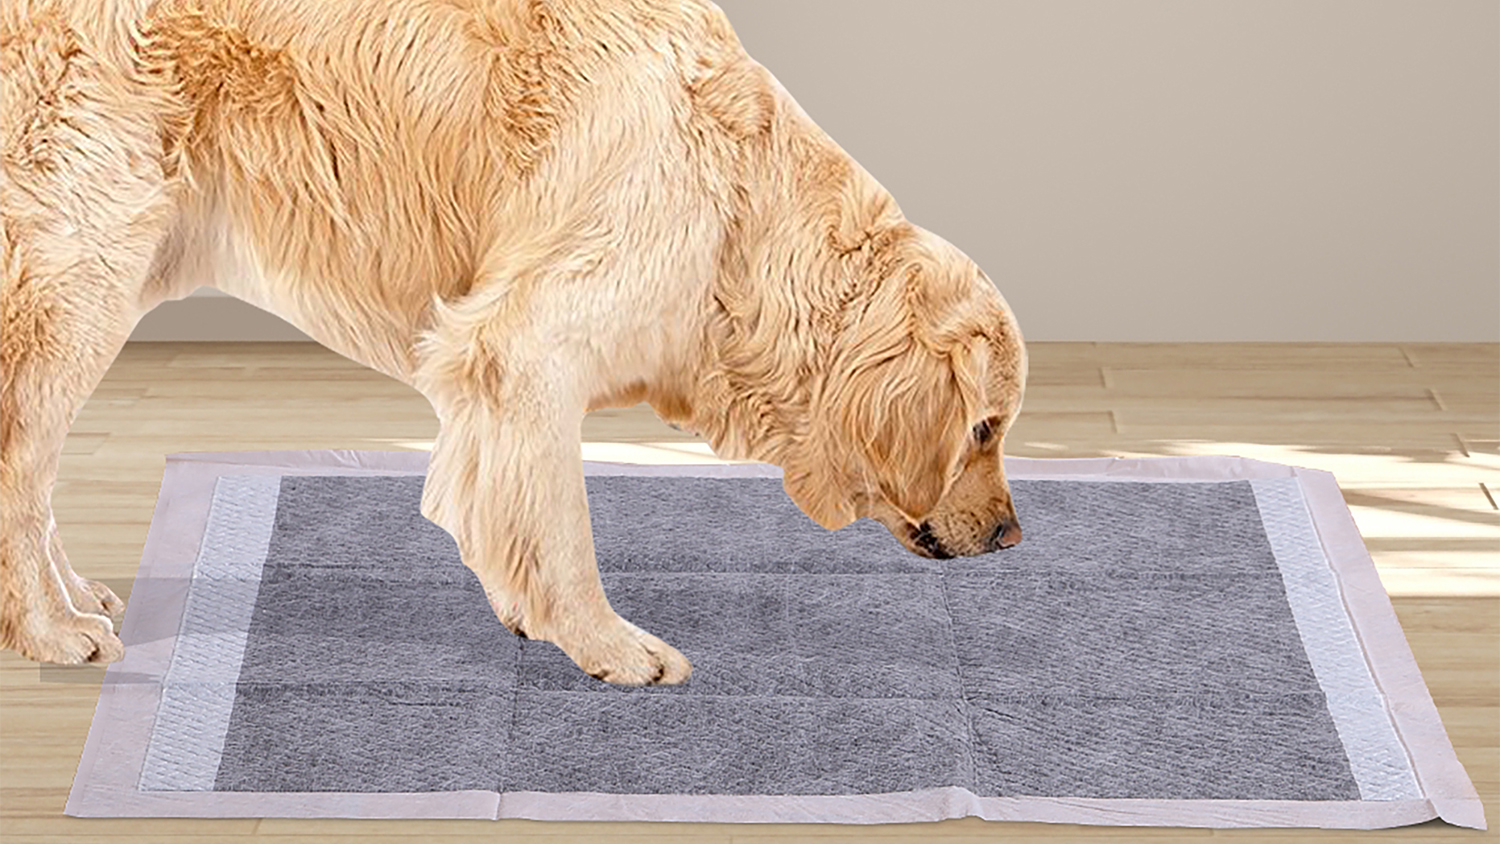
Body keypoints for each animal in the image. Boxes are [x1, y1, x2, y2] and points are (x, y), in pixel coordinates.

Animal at [0, 0, 1027, 685]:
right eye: (984, 429)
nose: (1014, 538)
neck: (741, 204)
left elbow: (501, 499)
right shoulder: (525, 346)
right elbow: (562, 522)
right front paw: (611, 644)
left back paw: (77, 597)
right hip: (77, 276)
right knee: (21, 468)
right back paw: (48, 633)